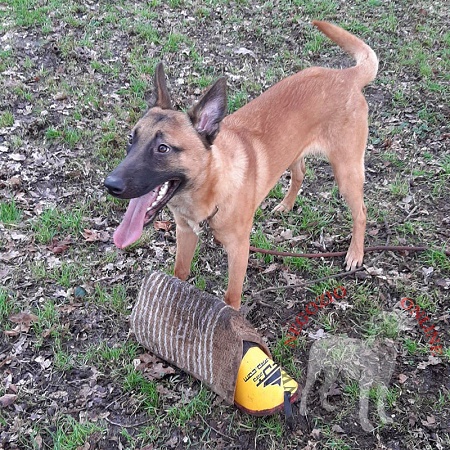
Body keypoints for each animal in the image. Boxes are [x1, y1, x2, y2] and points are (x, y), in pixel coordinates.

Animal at [103, 20, 378, 310]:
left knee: (361, 211)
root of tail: (346, 75)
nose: (110, 185)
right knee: (300, 173)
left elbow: (231, 296)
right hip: (295, 151)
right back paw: (287, 204)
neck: (211, 188)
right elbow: (180, 272)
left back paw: (355, 253)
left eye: (163, 148)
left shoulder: (239, 249)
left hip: (346, 172)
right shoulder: (185, 232)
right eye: (131, 139)